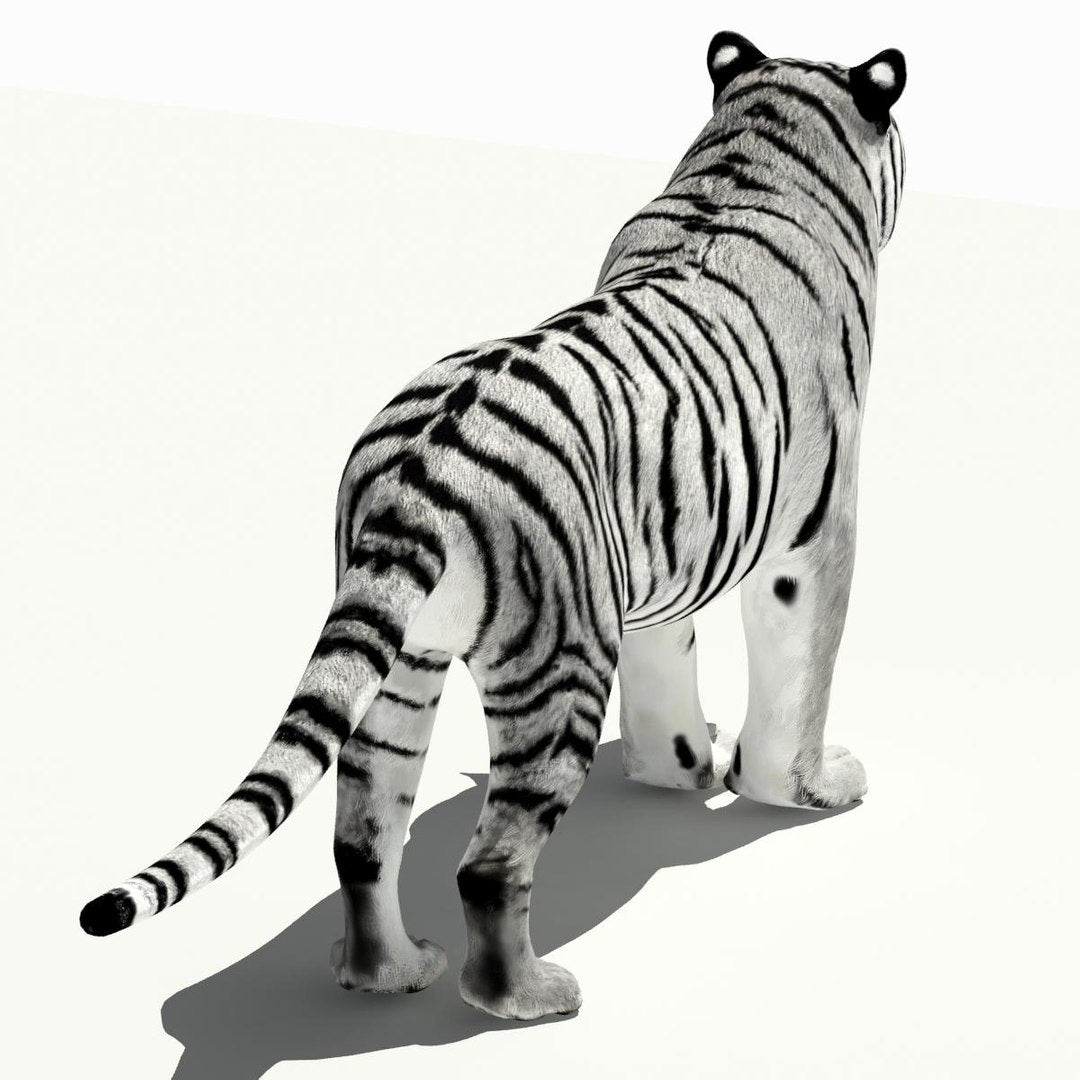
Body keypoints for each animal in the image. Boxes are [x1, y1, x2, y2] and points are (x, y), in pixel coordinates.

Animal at [79, 32, 907, 1022]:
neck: (751, 161)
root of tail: (419, 473)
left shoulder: (664, 551)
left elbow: (669, 671)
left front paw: (681, 768)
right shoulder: (810, 535)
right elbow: (798, 686)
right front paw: (807, 787)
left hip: (397, 670)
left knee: (362, 840)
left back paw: (392, 974)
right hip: (558, 669)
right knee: (488, 866)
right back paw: (532, 996)